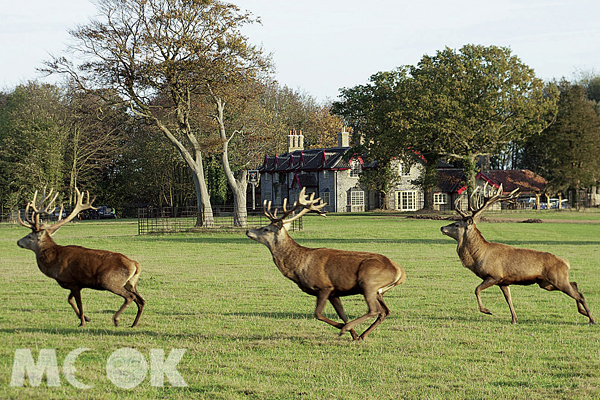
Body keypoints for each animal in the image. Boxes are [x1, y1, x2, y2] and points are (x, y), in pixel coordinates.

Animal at [17, 189, 144, 326]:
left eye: (29, 236)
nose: (18, 241)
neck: (53, 263)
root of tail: (135, 265)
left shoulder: (72, 281)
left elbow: (78, 303)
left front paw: (82, 322)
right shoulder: (77, 284)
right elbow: (70, 300)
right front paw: (86, 318)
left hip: (109, 281)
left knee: (130, 297)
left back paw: (116, 319)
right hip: (131, 283)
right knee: (141, 300)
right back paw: (134, 324)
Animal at [245, 189, 408, 340]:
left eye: (266, 229)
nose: (248, 231)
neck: (298, 266)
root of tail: (400, 272)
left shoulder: (324, 286)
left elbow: (318, 314)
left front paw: (344, 329)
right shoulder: (335, 292)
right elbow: (342, 314)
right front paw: (354, 334)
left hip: (368, 281)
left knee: (374, 310)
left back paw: (349, 330)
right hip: (379, 291)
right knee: (385, 311)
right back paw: (362, 335)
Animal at [440, 184, 596, 324]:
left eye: (457, 224)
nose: (442, 227)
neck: (479, 257)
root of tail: (566, 262)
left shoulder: (494, 275)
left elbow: (476, 289)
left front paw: (487, 310)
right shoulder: (503, 281)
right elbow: (509, 299)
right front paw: (514, 319)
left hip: (557, 278)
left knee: (579, 295)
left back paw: (591, 319)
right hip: (547, 283)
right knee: (575, 284)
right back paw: (583, 312)